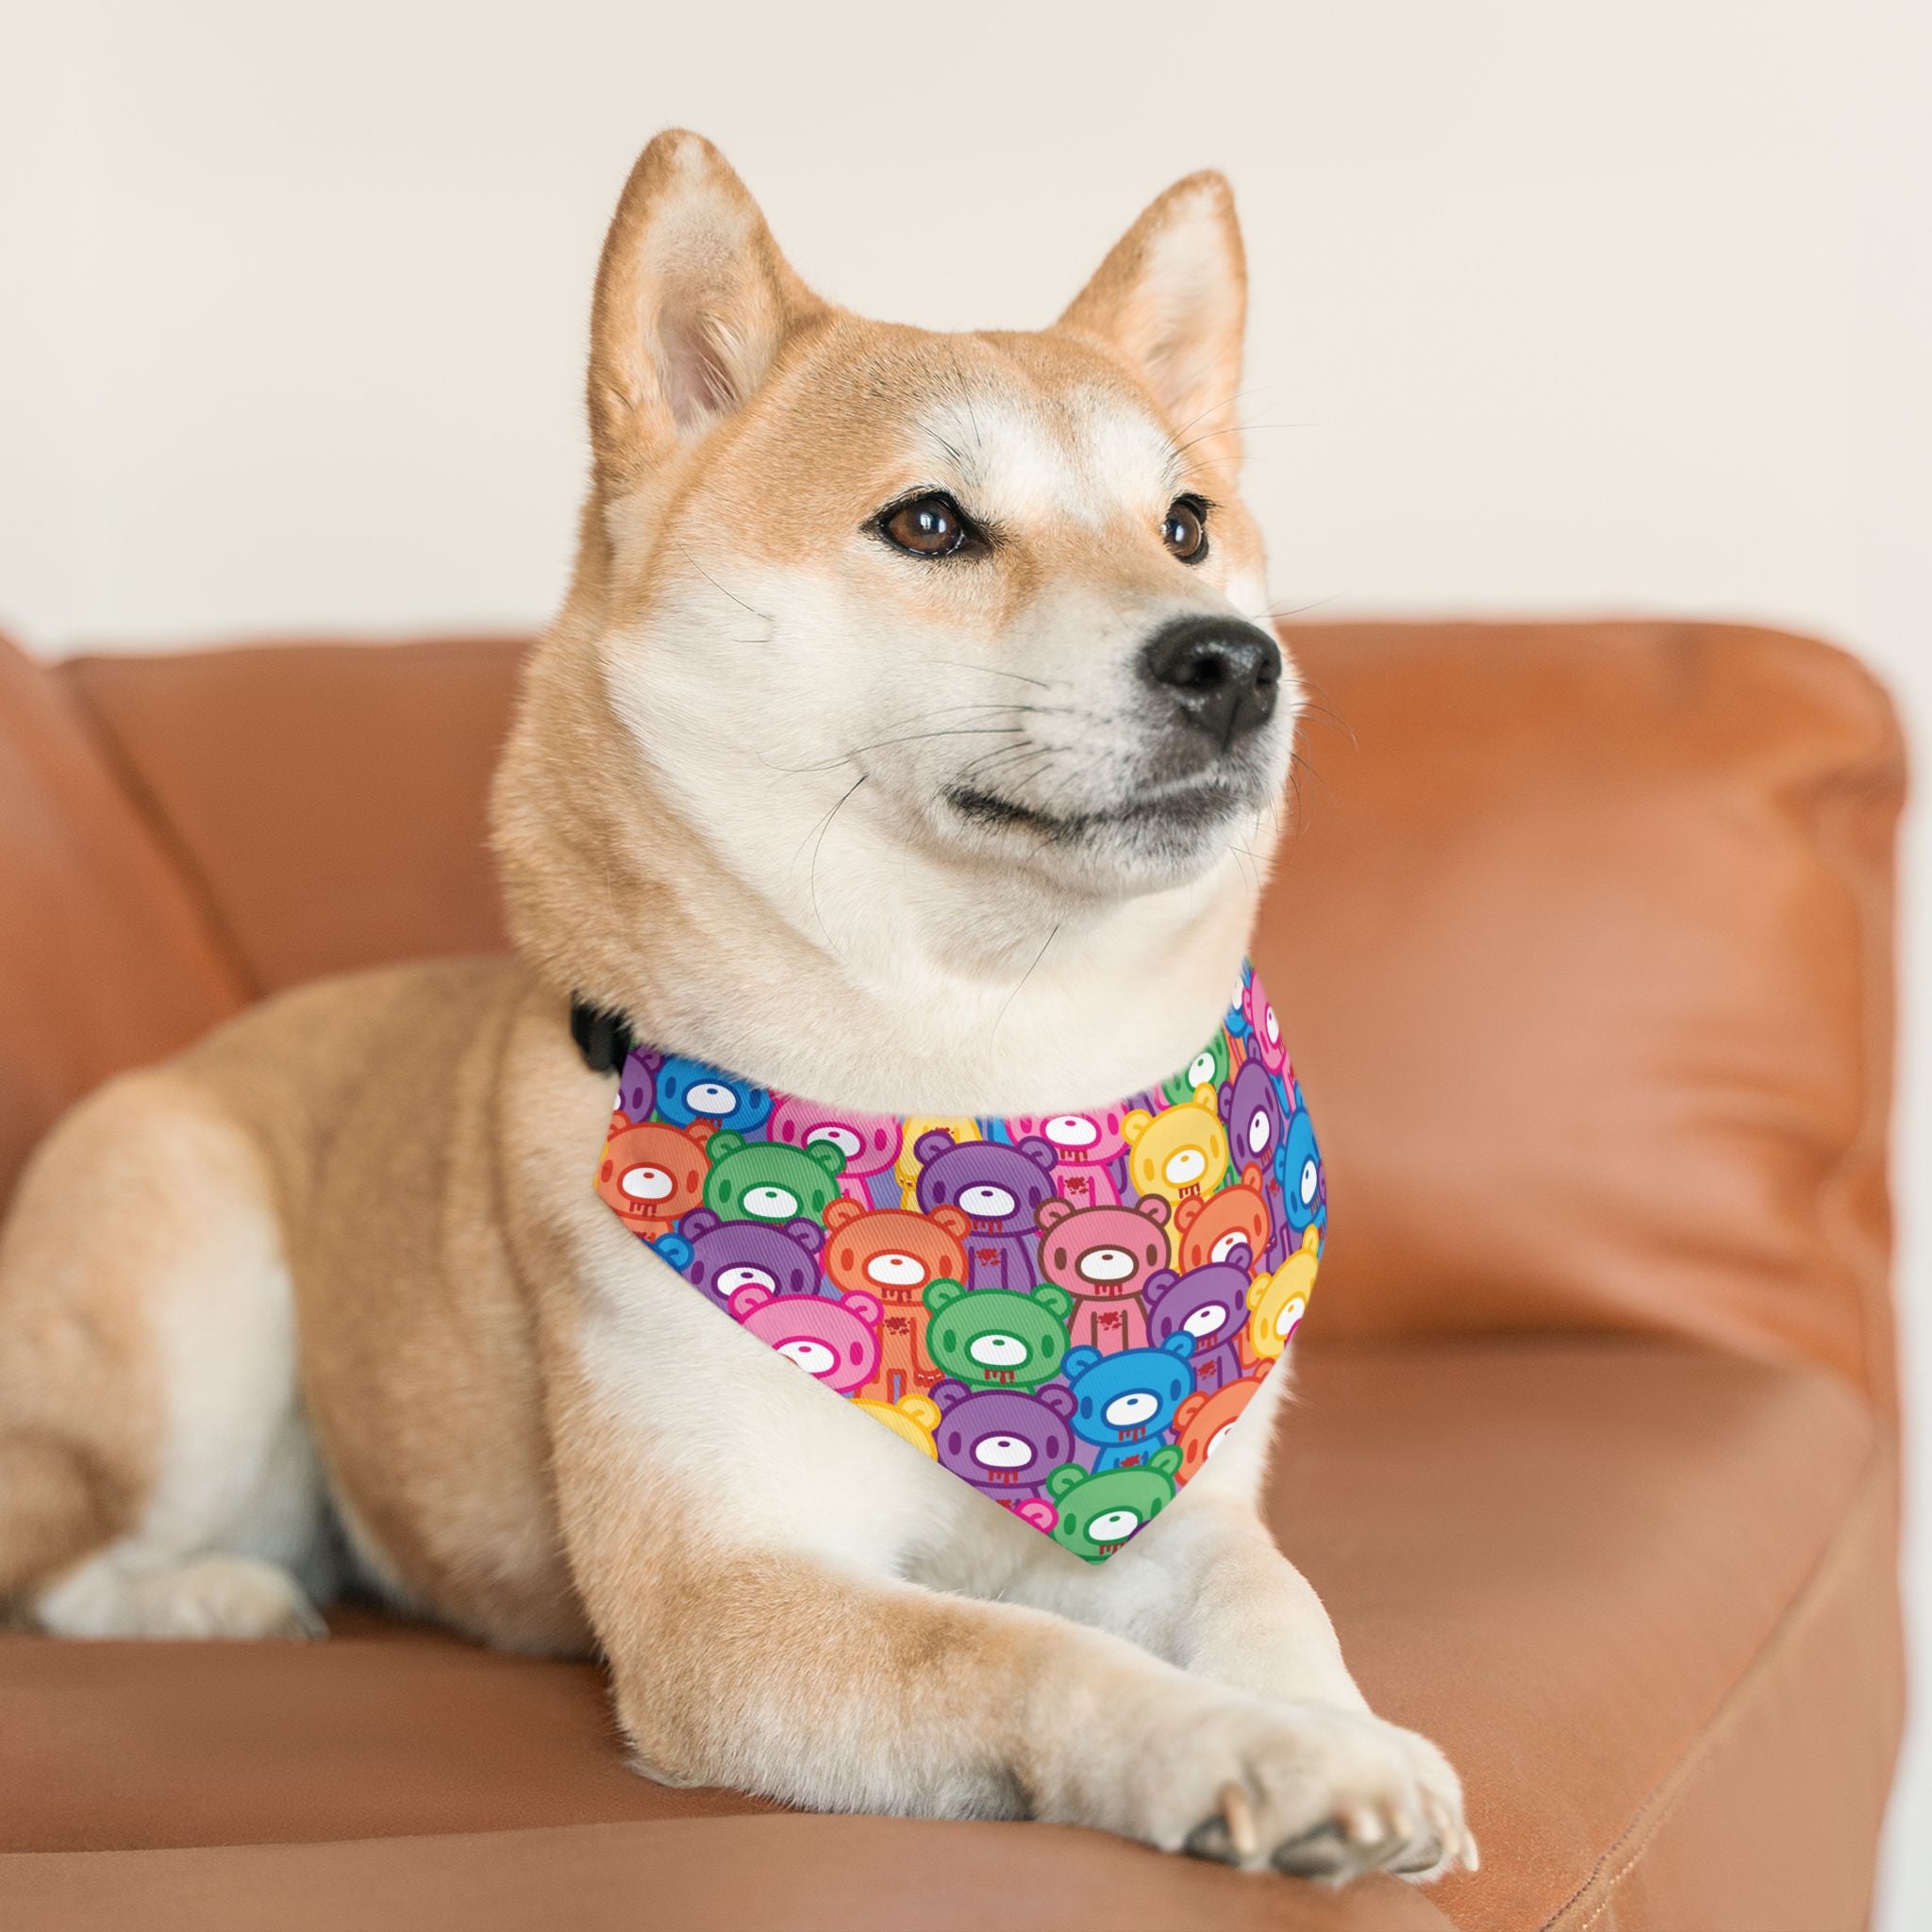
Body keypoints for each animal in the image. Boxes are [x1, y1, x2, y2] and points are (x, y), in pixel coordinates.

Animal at [821, 1199, 970, 1404]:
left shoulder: (922, 1318)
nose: (896, 1260)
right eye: (848, 1255)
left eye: (944, 1260)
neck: (897, 1304)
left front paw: (928, 1375)